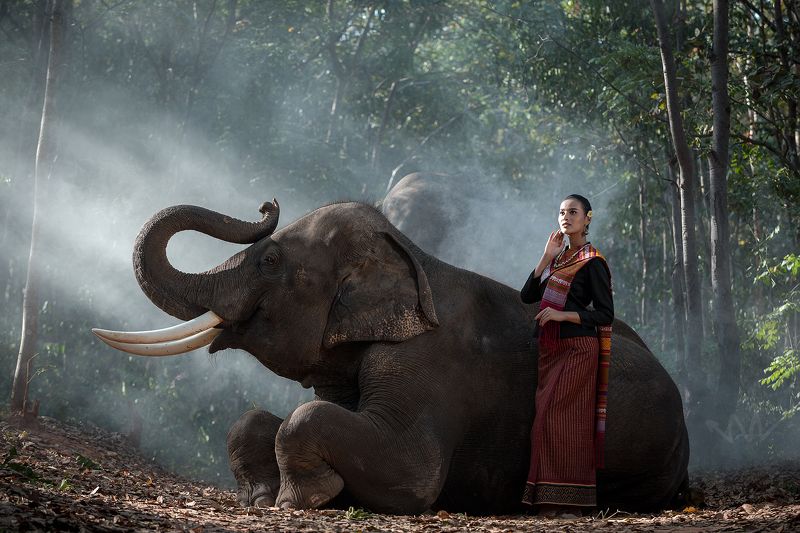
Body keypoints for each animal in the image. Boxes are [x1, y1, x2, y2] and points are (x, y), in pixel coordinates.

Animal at [93, 198, 690, 515]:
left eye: (270, 260)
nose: (267, 206)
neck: (410, 255)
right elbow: (260, 420)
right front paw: (262, 498)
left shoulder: (430, 361)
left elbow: (411, 472)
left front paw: (304, 499)